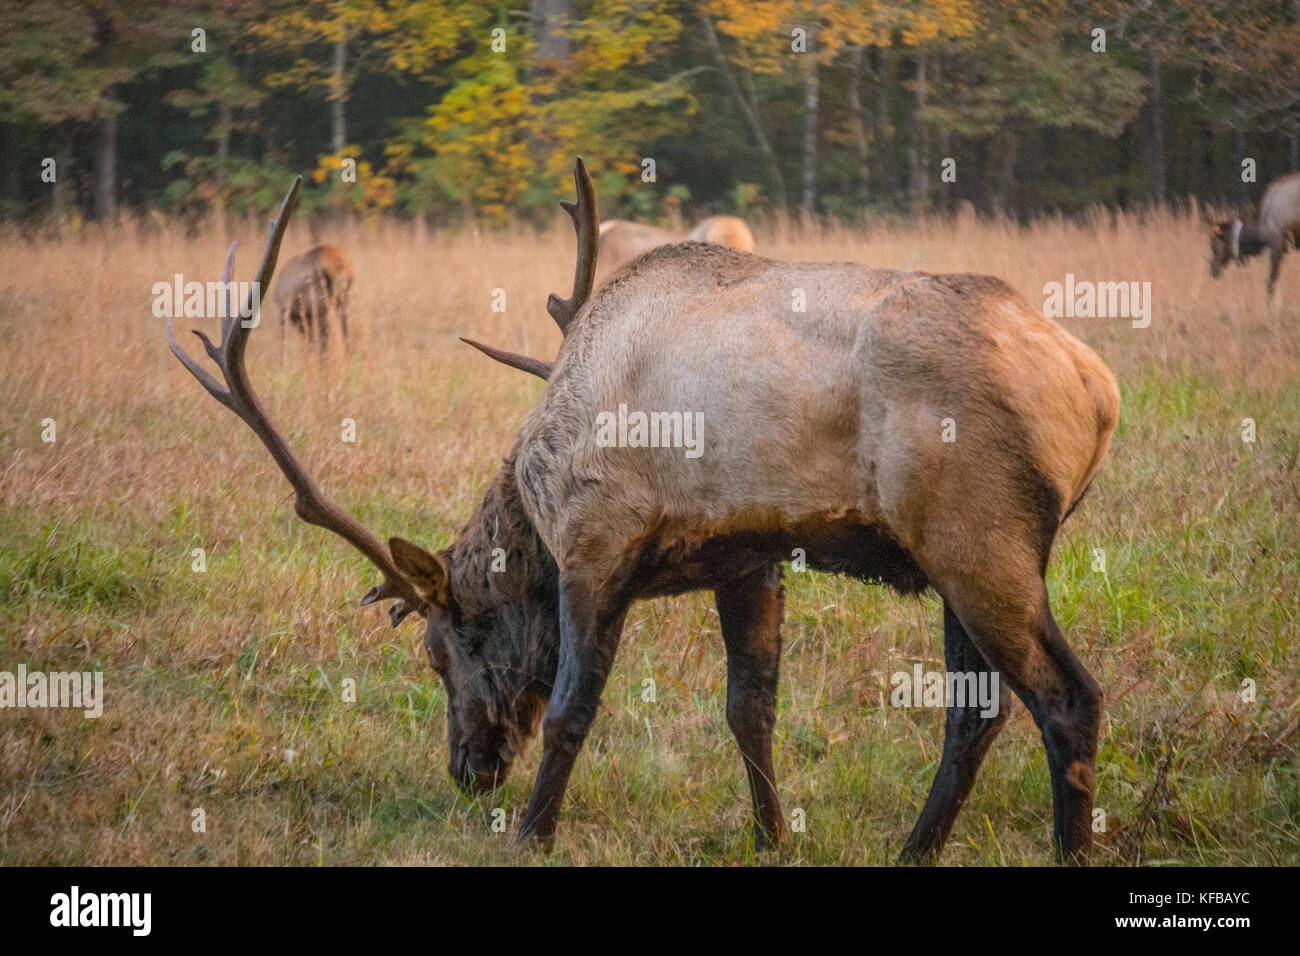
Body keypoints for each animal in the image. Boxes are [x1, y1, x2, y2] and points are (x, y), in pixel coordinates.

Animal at [162, 160, 1118, 863]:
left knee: (1068, 699)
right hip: (958, 558)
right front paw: (769, 835)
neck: (535, 491)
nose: (467, 770)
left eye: (441, 653)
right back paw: (915, 850)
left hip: (977, 539)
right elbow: (751, 708)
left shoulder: (595, 544)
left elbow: (570, 709)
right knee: (976, 713)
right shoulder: (750, 556)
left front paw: (531, 833)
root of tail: (1097, 389)